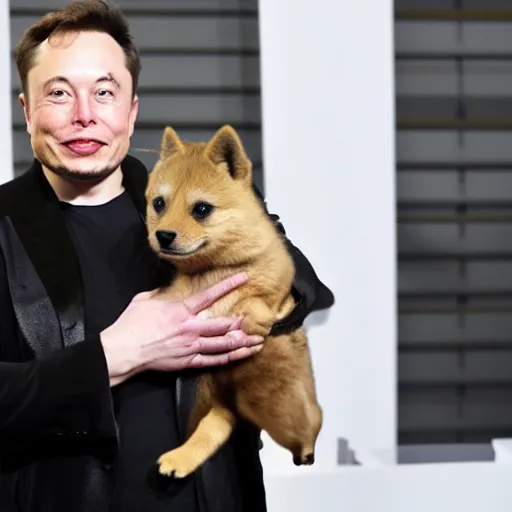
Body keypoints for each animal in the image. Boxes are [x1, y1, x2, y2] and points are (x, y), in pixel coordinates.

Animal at [144, 126, 322, 478]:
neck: (211, 271)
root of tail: (233, 401)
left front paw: (254, 319)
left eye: (201, 209)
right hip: (221, 408)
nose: (163, 236)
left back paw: (306, 451)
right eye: (159, 203)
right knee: (208, 434)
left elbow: (257, 297)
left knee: (313, 422)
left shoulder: (277, 276)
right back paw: (178, 459)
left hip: (285, 412)